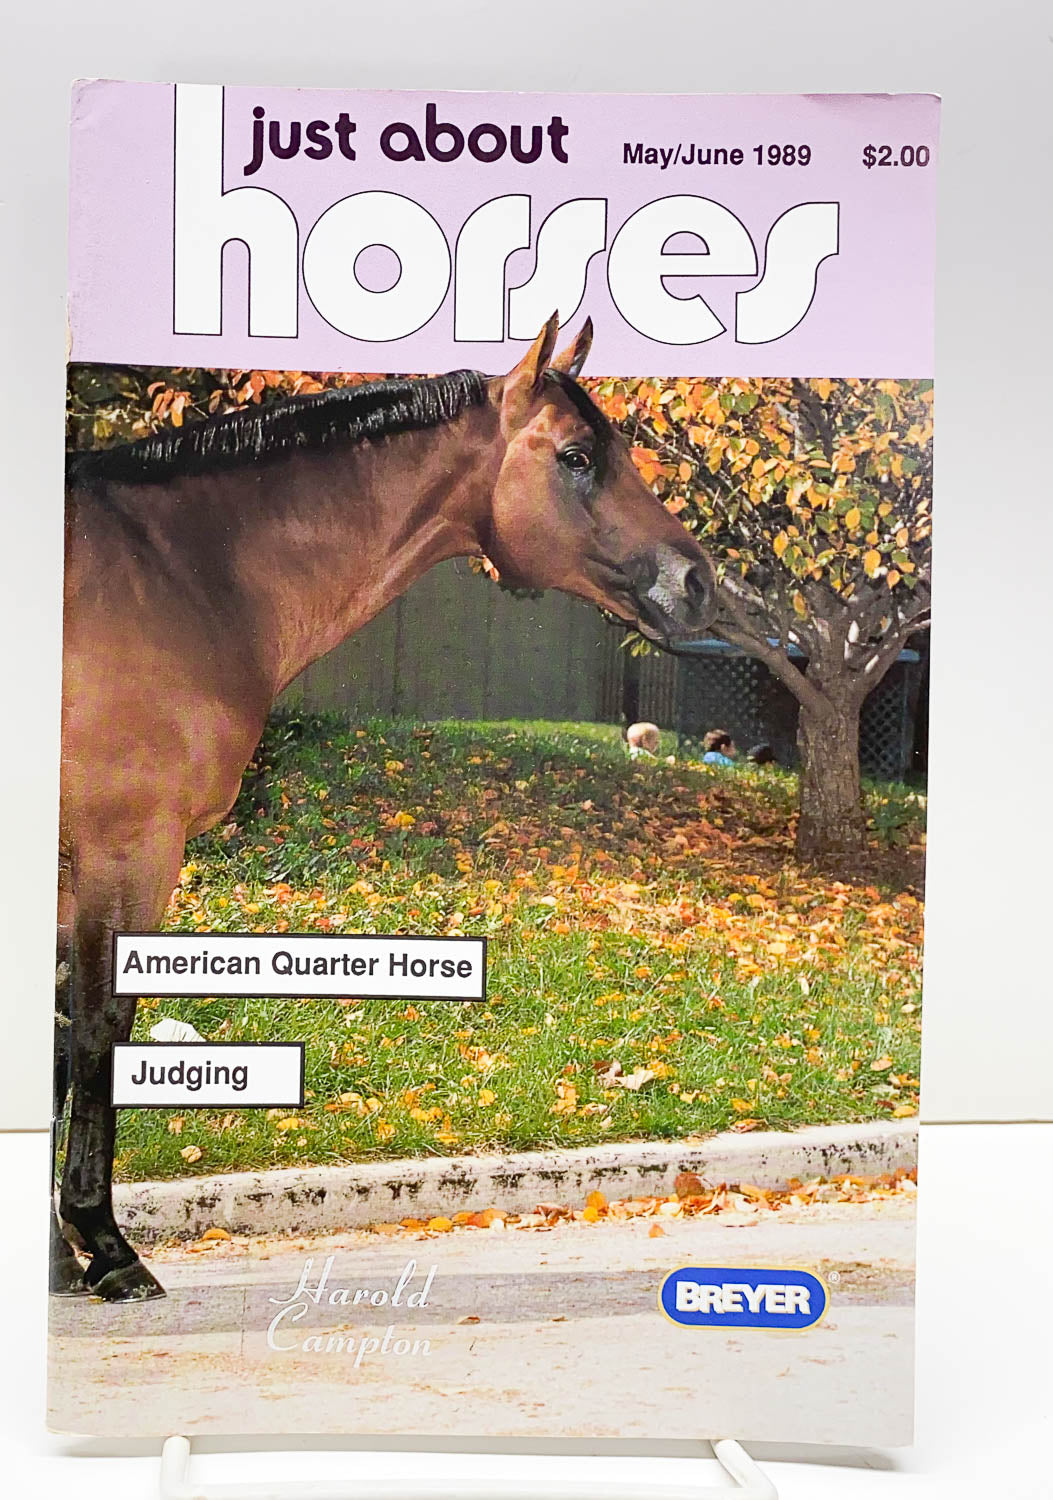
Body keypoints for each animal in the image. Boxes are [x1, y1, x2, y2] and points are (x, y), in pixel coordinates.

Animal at [54, 315, 716, 1301]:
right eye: (576, 455)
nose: (695, 580)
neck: (176, 572)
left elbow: (59, 1037)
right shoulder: (125, 850)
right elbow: (99, 1029)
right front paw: (103, 1245)